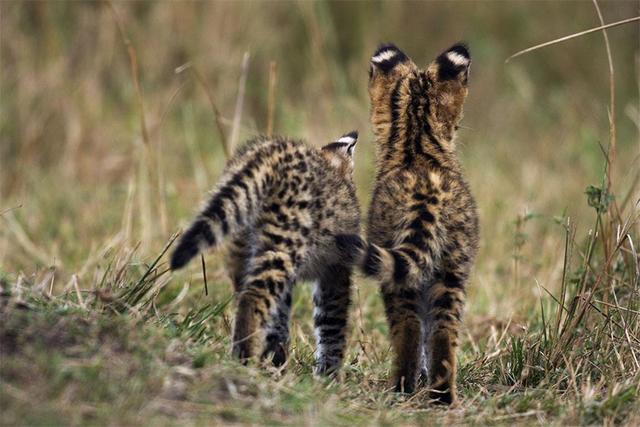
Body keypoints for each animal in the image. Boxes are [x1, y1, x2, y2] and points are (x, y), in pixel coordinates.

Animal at [170, 132, 360, 376]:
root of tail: (270, 152)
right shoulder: (336, 271)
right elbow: (332, 324)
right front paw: (328, 376)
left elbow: (279, 318)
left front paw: (278, 359)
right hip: (285, 242)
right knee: (253, 297)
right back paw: (244, 358)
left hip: (243, 247)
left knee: (248, 296)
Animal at [338, 44, 478, 404]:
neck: (417, 142)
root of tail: (425, 192)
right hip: (452, 267)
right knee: (443, 329)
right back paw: (442, 395)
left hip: (399, 277)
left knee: (410, 327)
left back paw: (401, 386)